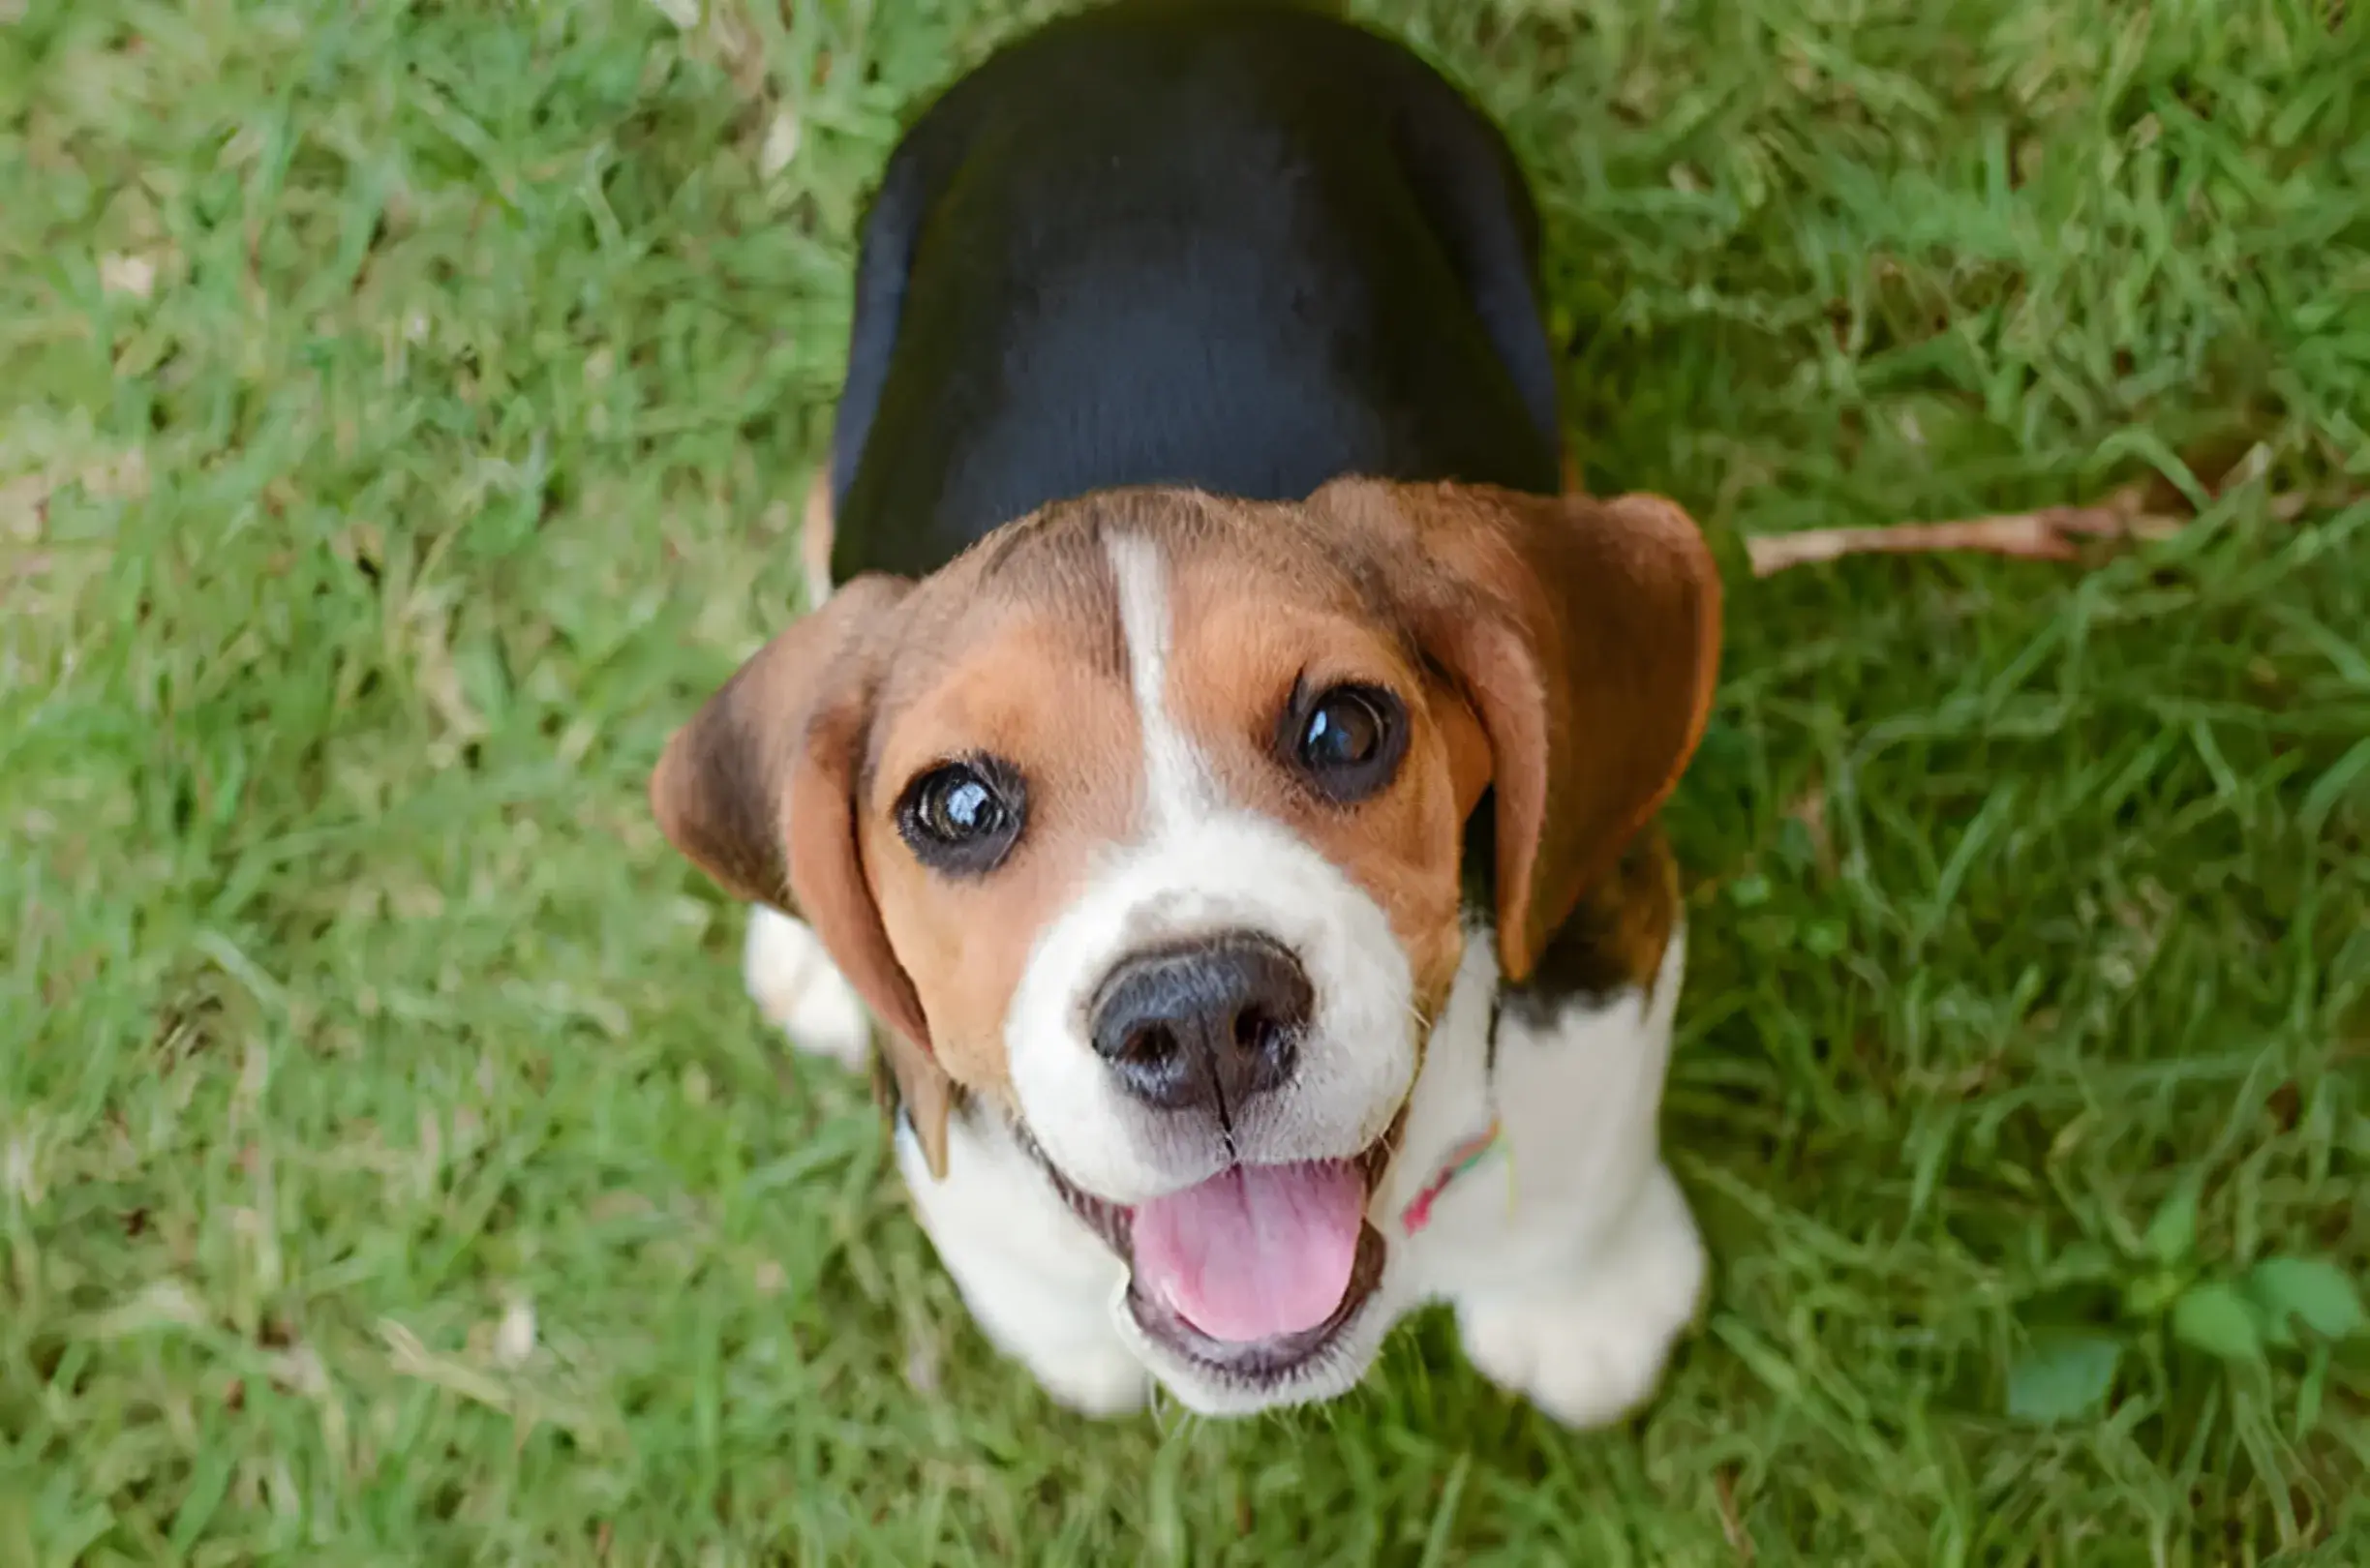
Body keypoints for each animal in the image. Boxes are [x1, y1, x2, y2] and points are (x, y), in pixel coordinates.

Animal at [649, 0, 1725, 1421]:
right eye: (958, 806)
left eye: (1347, 730)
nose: (1202, 1017)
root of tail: (1147, 22)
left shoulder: (1606, 926)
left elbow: (1582, 1157)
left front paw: (1585, 1309)